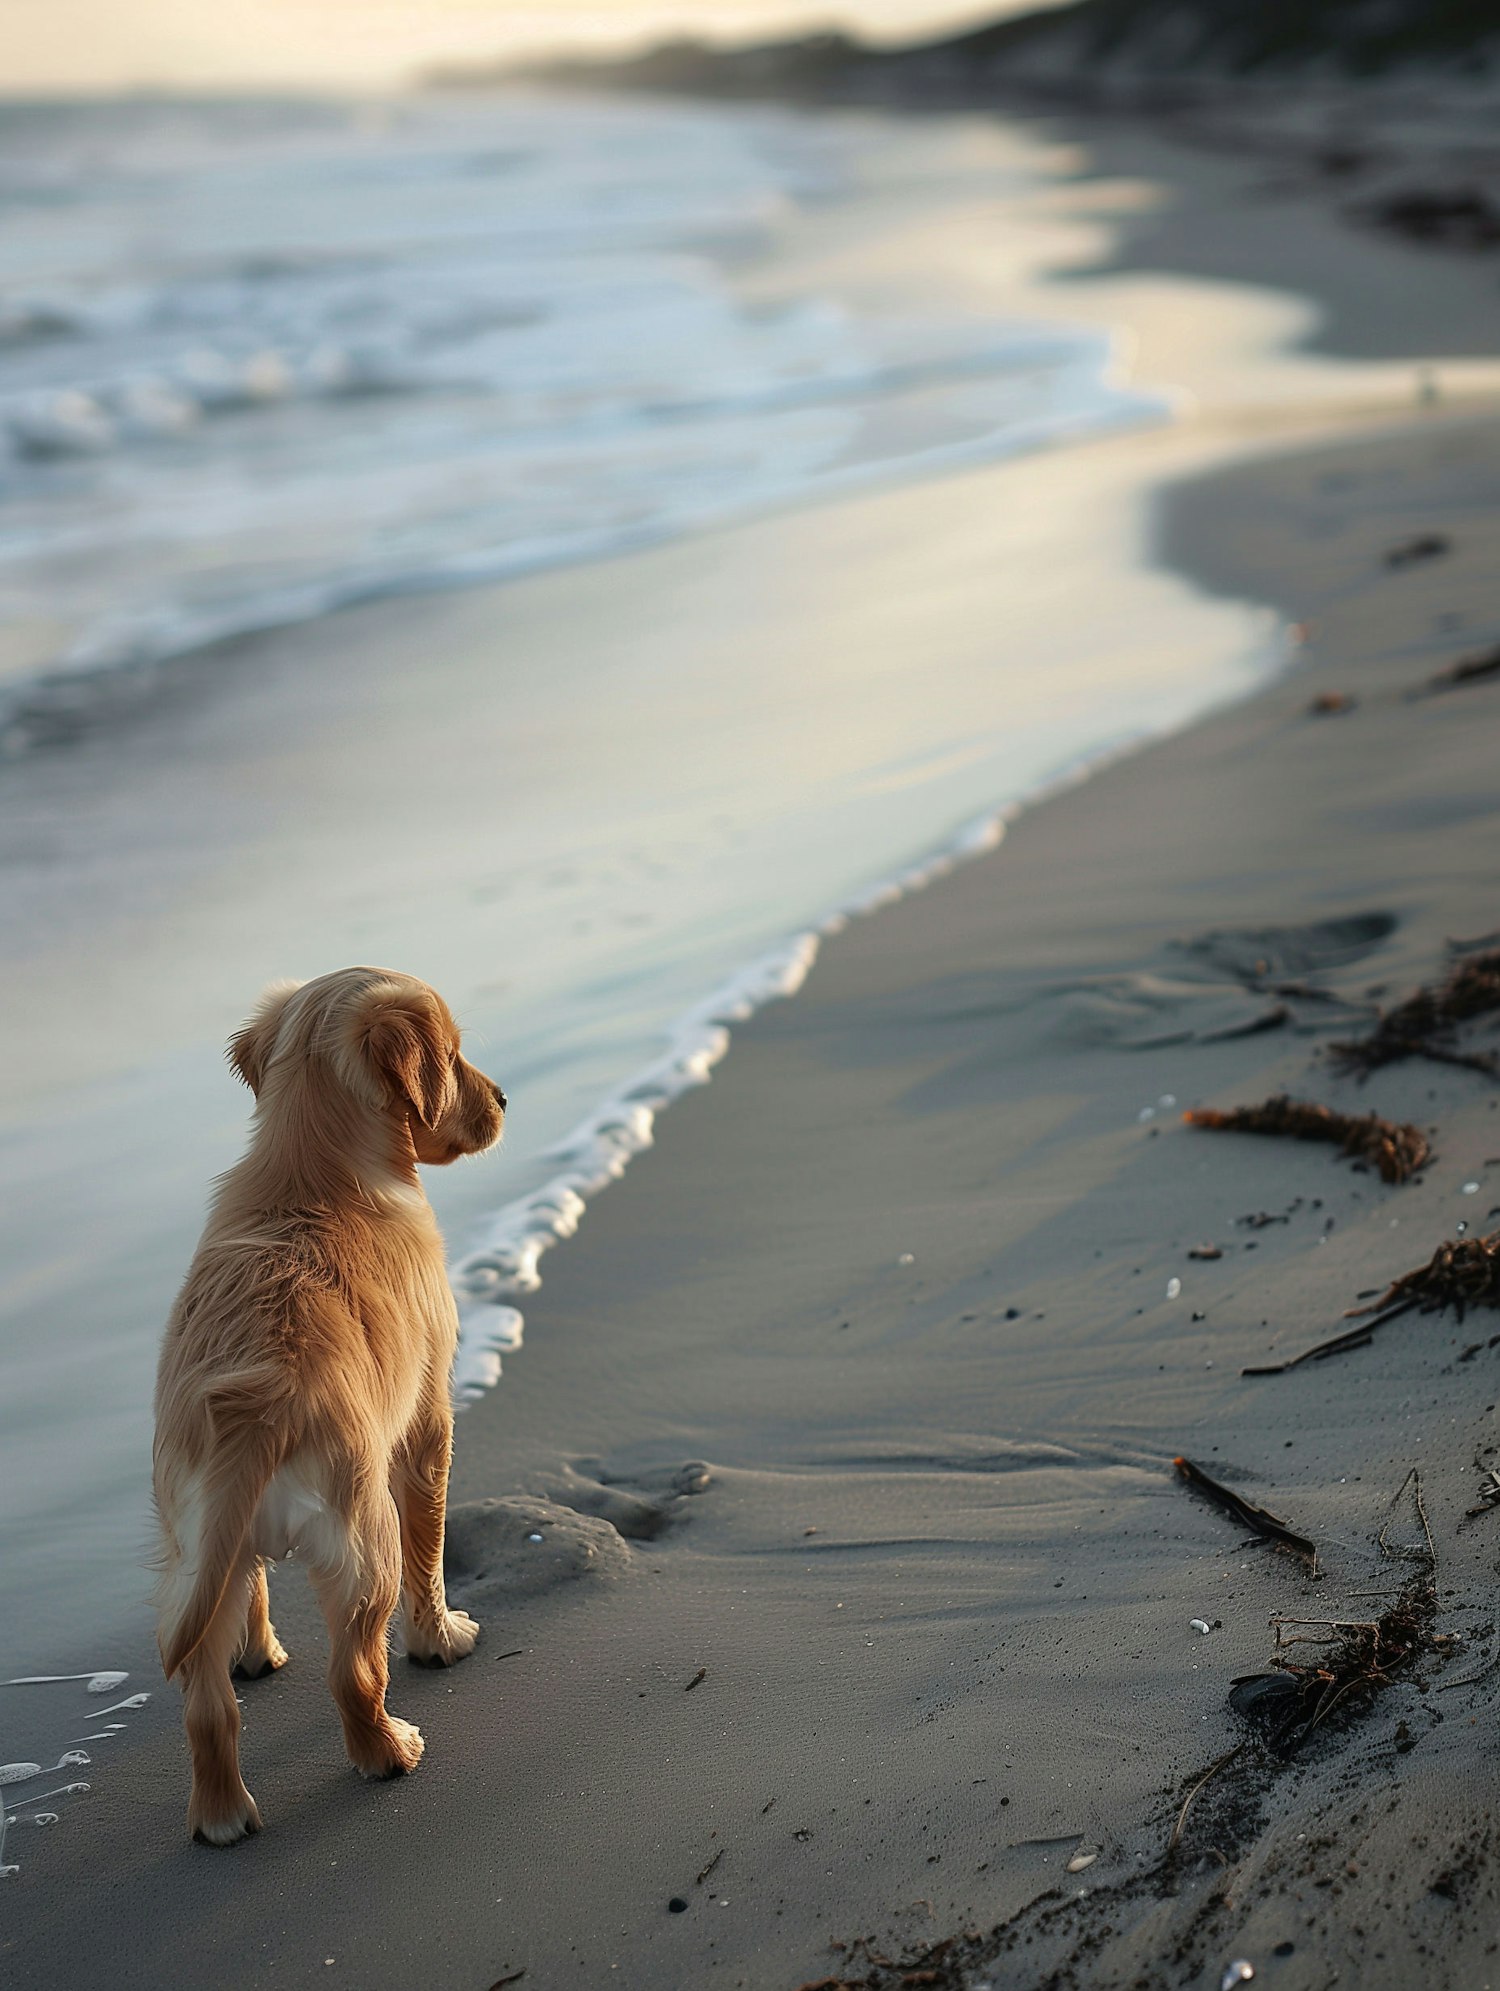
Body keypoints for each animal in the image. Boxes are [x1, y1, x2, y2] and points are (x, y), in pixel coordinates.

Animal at [152, 971, 505, 1839]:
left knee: (208, 1705)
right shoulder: (427, 1421)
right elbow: (431, 1549)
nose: (504, 1099)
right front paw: (442, 1636)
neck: (308, 1162)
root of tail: (253, 1413)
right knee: (356, 1670)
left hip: (192, 1554)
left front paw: (258, 1649)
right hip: (363, 1543)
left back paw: (221, 1814)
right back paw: (390, 1749)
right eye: (453, 1054)